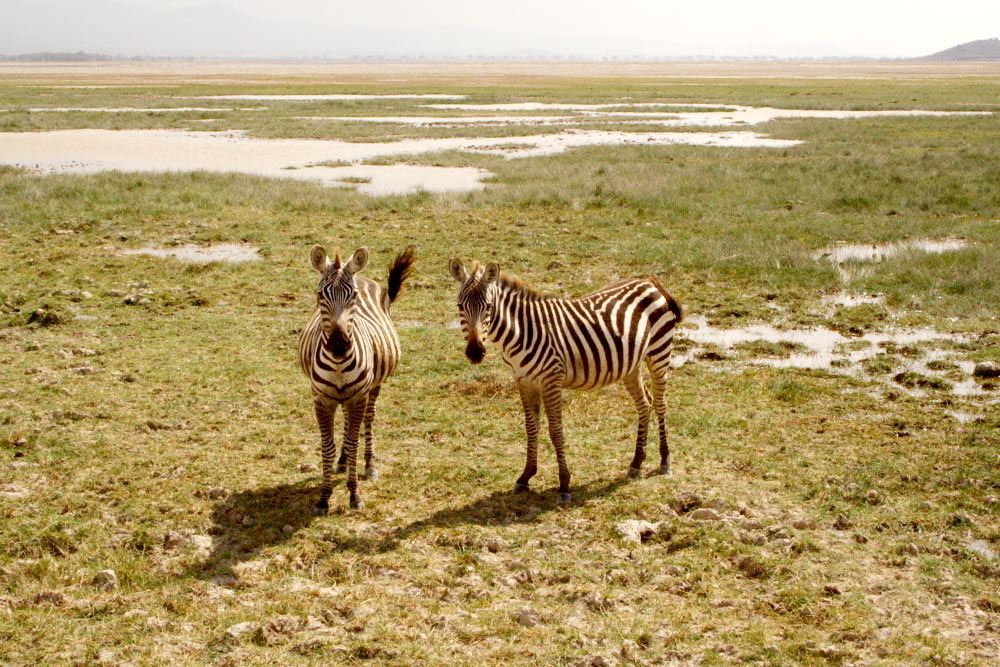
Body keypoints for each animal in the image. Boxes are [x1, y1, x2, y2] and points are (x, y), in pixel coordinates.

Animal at [302, 245, 416, 512]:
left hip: (371, 388)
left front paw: (354, 494)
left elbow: (354, 442)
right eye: (320, 295)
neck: (338, 365)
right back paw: (343, 461)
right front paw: (324, 497)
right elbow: (327, 447)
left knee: (368, 419)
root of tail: (362, 276)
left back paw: (369, 465)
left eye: (353, 296)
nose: (338, 345)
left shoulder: (358, 397)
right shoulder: (321, 400)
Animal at [452, 258, 680, 504]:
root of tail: (649, 283)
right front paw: (525, 477)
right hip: (630, 364)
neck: (521, 331)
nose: (475, 352)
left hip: (659, 352)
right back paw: (636, 462)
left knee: (660, 403)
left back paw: (665, 460)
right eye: (460, 306)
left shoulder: (551, 380)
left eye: (488, 307)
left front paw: (564, 484)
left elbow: (555, 431)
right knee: (644, 403)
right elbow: (531, 427)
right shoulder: (523, 381)